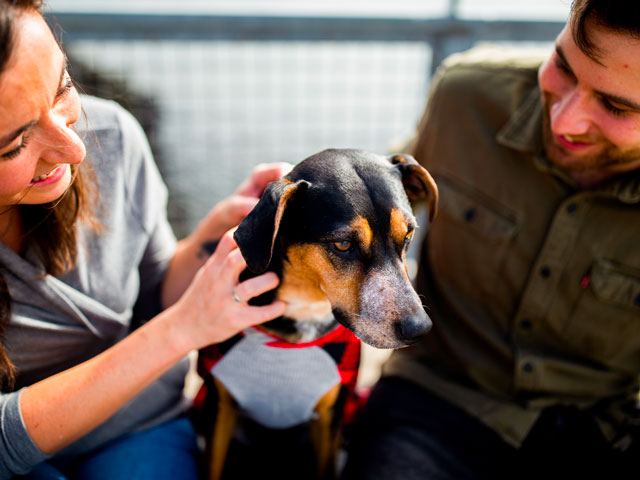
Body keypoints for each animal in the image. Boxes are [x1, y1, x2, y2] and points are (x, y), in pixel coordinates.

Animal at [195, 150, 436, 480]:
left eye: (409, 235)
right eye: (343, 244)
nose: (419, 328)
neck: (306, 307)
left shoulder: (330, 417)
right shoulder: (219, 409)